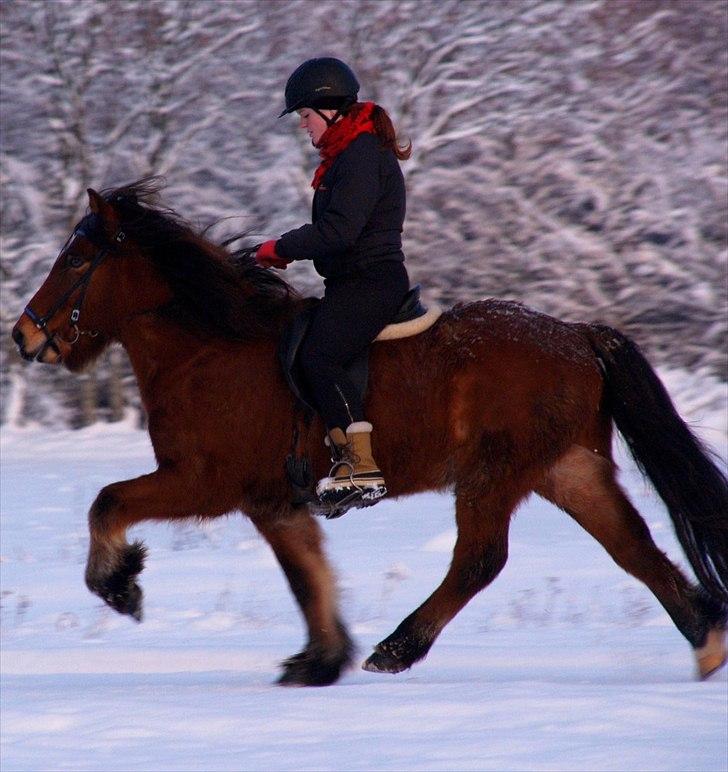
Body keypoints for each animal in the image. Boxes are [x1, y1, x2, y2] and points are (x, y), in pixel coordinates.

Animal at [11, 182, 728, 688]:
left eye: (76, 258)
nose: (22, 335)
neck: (210, 347)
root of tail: (581, 336)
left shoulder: (203, 483)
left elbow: (107, 500)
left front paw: (119, 583)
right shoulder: (271, 502)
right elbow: (307, 575)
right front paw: (319, 660)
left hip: (494, 474)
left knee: (480, 560)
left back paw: (397, 648)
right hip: (568, 468)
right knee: (633, 549)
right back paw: (706, 643)